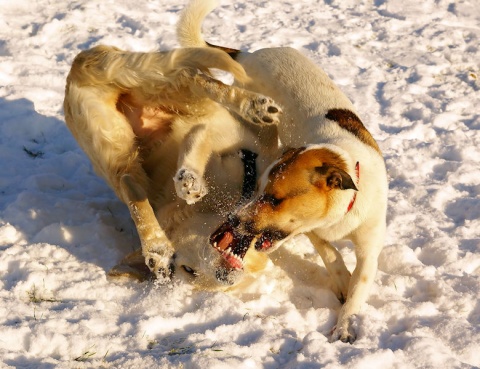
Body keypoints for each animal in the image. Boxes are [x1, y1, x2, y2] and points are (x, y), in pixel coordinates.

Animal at [63, 43, 282, 282]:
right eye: (190, 271)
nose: (224, 277)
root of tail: (78, 66)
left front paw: (189, 182)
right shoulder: (207, 135)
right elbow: (193, 149)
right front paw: (189, 181)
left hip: (156, 95)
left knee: (193, 79)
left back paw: (254, 107)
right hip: (111, 141)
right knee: (129, 184)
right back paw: (156, 248)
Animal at [174, 0, 388, 342]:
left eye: (274, 199)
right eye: (257, 190)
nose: (232, 220)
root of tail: (249, 54)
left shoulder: (369, 244)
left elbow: (359, 286)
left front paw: (344, 324)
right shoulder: (313, 232)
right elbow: (331, 254)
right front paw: (341, 280)